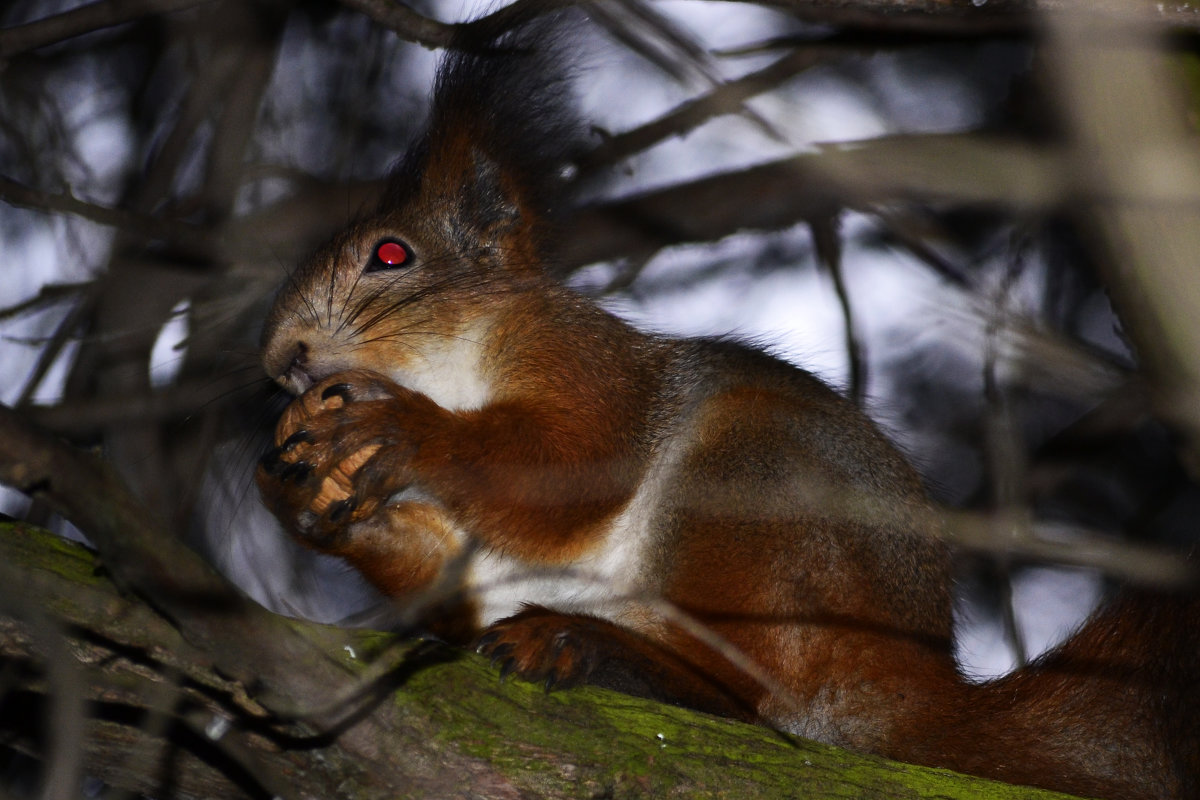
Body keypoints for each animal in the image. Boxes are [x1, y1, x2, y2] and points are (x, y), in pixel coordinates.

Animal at [255, 14, 1200, 800]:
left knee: (757, 696)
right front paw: (298, 490)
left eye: (390, 255)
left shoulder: (582, 363)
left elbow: (575, 467)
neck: (450, 365)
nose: (280, 360)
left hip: (754, 482)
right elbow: (438, 576)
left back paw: (607, 653)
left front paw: (399, 425)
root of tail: (913, 691)